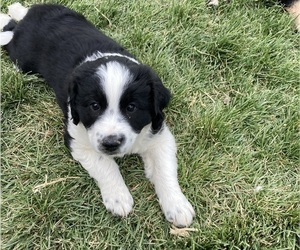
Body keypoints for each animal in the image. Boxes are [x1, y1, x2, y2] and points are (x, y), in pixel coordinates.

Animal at [0, 2, 196, 228]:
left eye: (131, 108)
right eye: (94, 106)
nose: (111, 143)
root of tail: (34, 15)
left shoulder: (158, 133)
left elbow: (165, 169)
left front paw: (177, 206)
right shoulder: (77, 138)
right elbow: (105, 164)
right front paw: (118, 197)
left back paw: (15, 10)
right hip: (22, 59)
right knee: (10, 34)